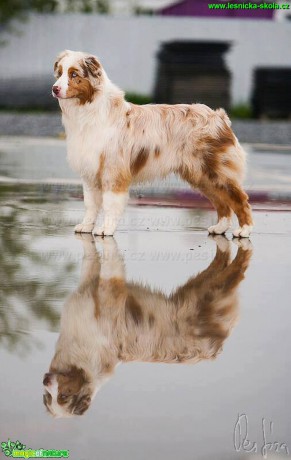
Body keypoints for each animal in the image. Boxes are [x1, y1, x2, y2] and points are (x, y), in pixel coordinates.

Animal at [42, 235, 253, 418]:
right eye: (49, 399)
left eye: (63, 396)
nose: (45, 379)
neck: (83, 361)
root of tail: (215, 351)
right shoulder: (88, 284)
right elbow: (90, 261)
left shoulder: (108, 292)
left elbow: (110, 267)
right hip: (199, 284)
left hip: (213, 290)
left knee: (236, 270)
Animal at [53, 49, 254, 237]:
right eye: (59, 73)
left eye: (74, 74)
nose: (54, 88)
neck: (88, 110)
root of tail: (219, 116)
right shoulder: (90, 172)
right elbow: (90, 204)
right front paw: (86, 226)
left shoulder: (113, 171)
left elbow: (110, 203)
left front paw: (106, 229)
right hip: (201, 175)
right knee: (222, 202)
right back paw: (220, 228)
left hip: (217, 171)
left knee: (239, 199)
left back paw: (244, 230)